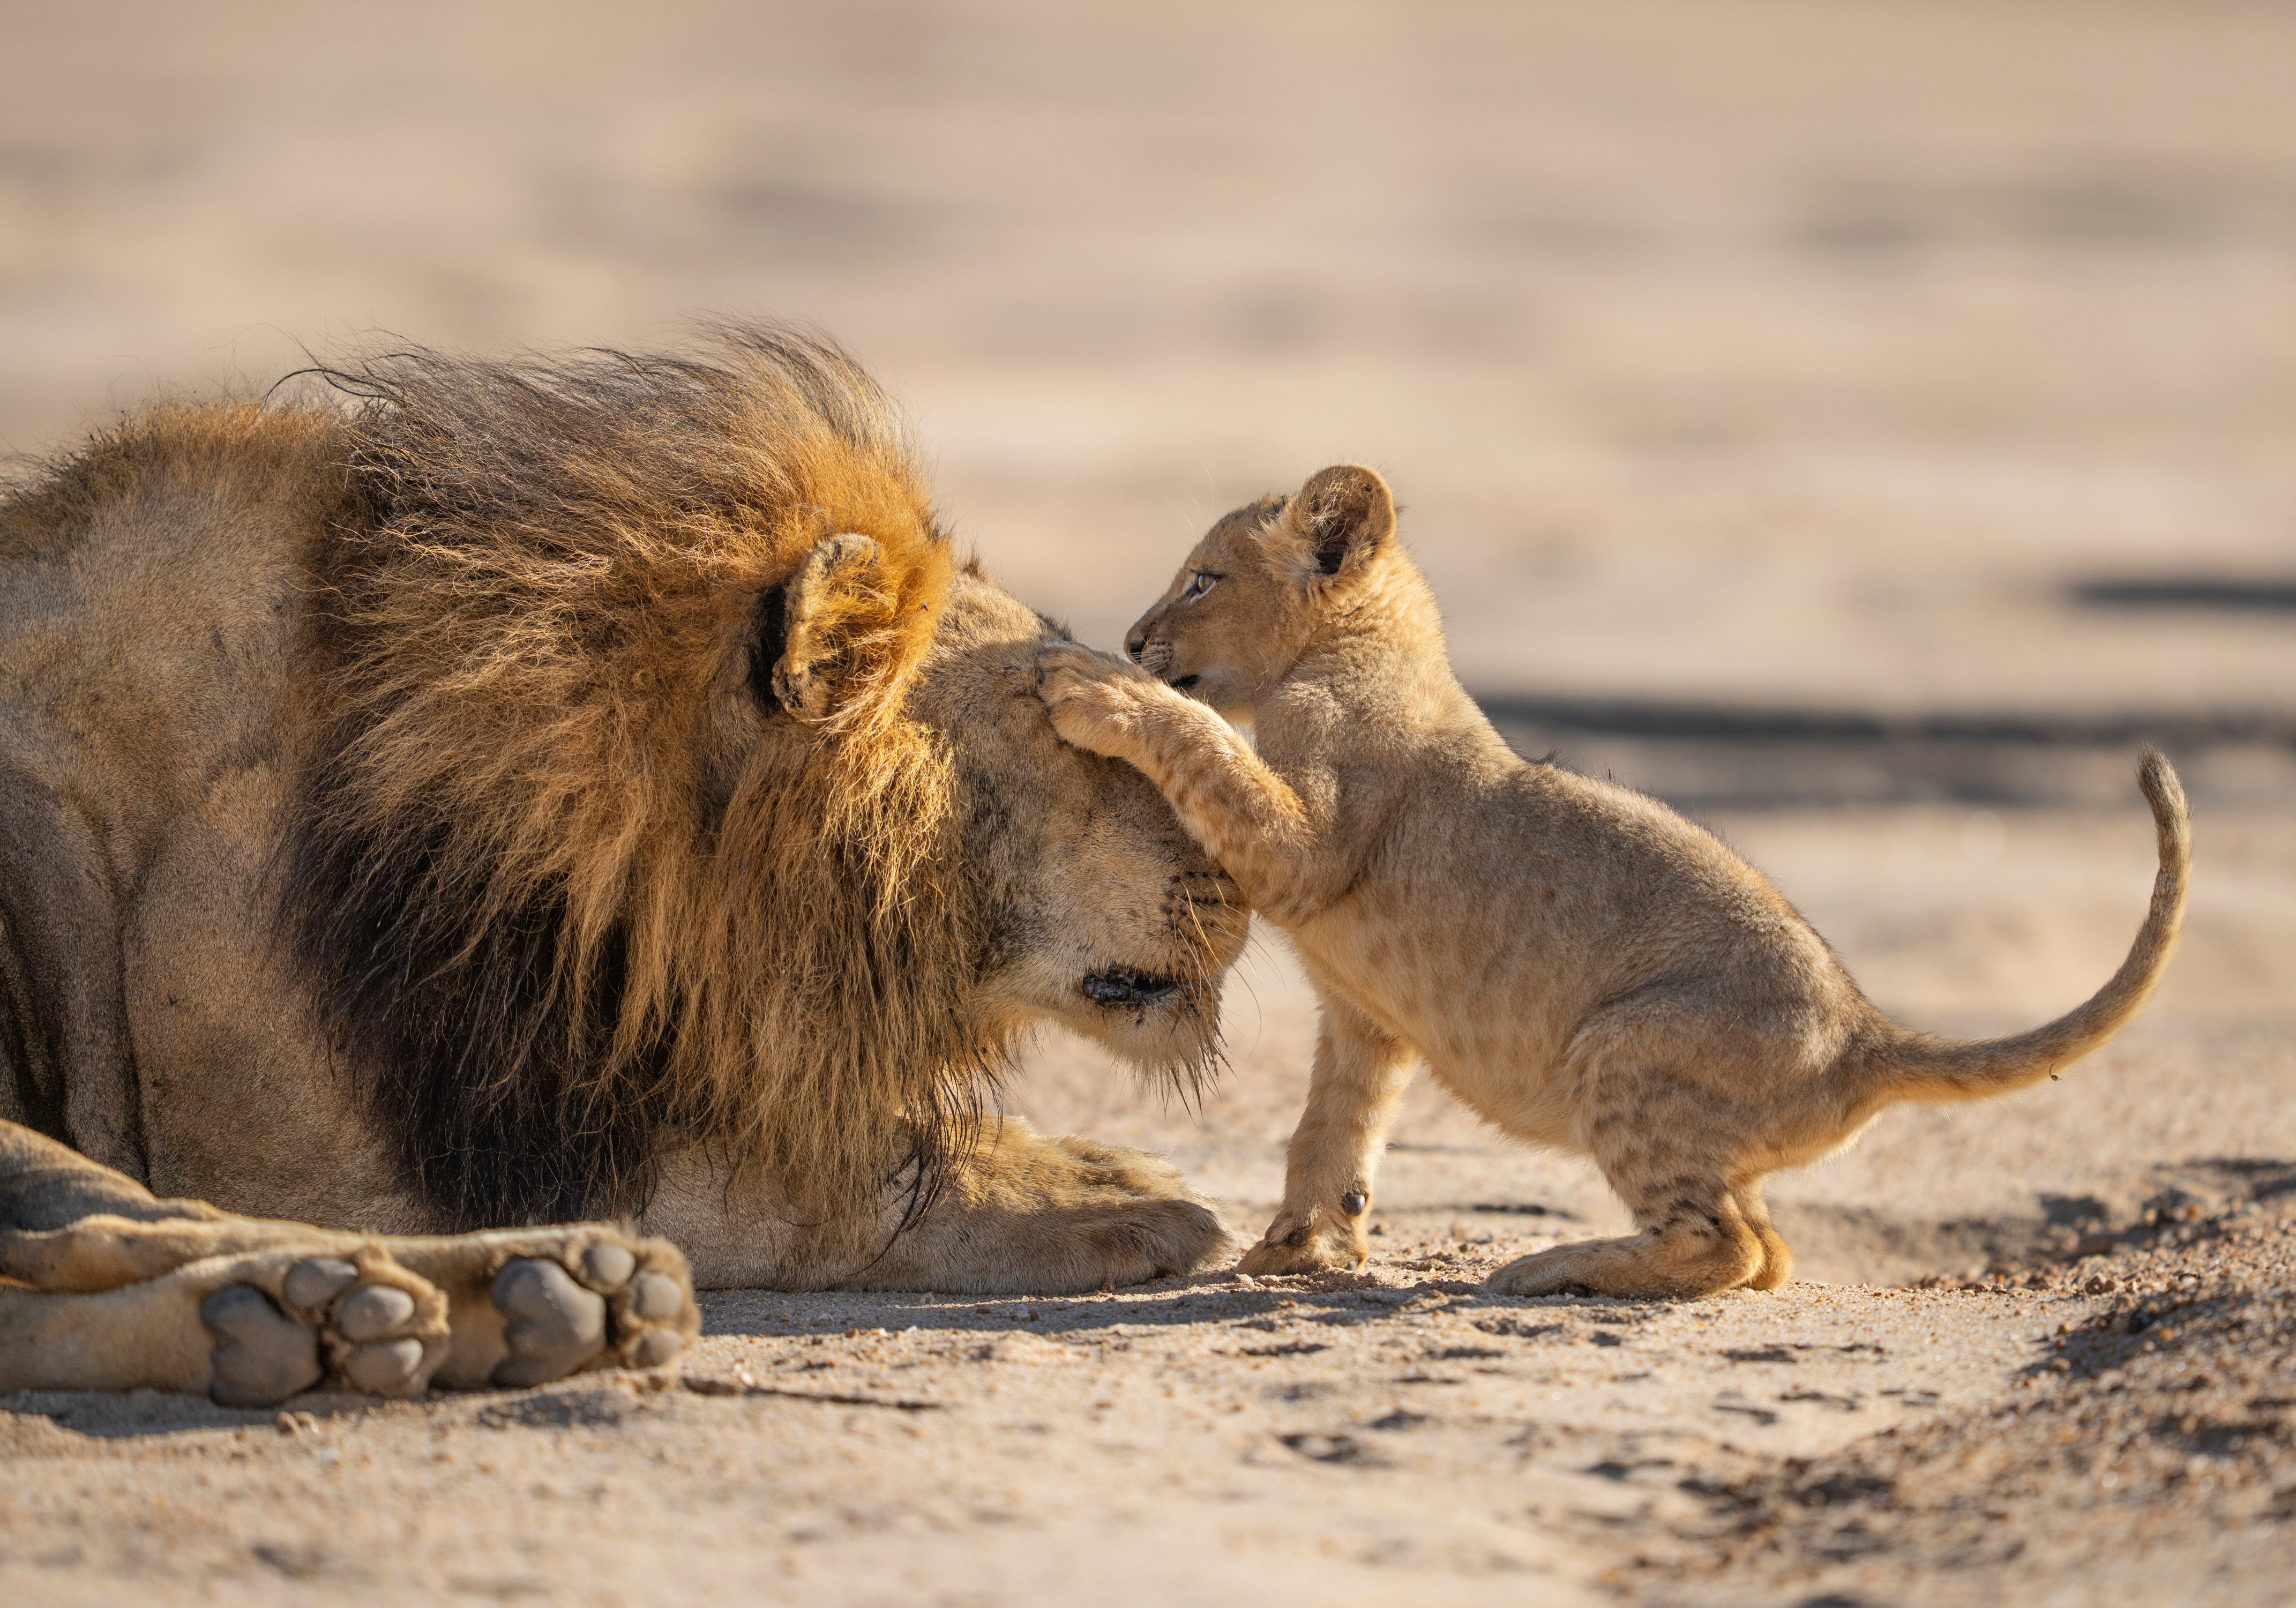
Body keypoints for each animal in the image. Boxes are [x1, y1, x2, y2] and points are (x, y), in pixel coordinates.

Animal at [0, 328, 1247, 1405]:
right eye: (1075, 735)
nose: (1245, 882)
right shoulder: (327, 1144)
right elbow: (817, 1183)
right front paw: (1108, 1198)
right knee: (130, 1227)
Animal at [1036, 462, 2189, 1300]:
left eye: (1201, 579)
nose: (1135, 634)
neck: (1361, 650)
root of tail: (1869, 1036)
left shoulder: (1308, 842)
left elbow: (1205, 743)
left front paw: (1095, 687)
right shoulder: (1369, 1018)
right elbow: (1331, 1125)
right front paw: (1298, 1246)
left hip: (1626, 1048)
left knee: (1727, 1246)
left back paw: (1552, 1267)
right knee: (1769, 1253)